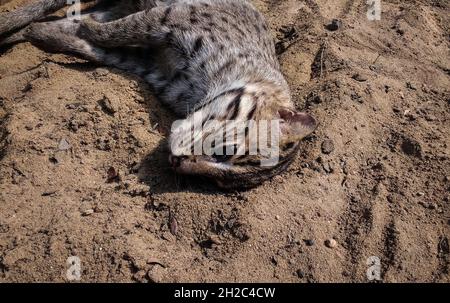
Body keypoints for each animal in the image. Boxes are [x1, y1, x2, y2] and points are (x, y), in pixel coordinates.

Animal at [0, 0, 316, 189]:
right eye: (224, 152)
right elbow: (114, 31)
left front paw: (48, 36)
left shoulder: (149, 66)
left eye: (219, 182)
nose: (176, 163)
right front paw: (76, 28)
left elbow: (99, 49)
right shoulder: (172, 17)